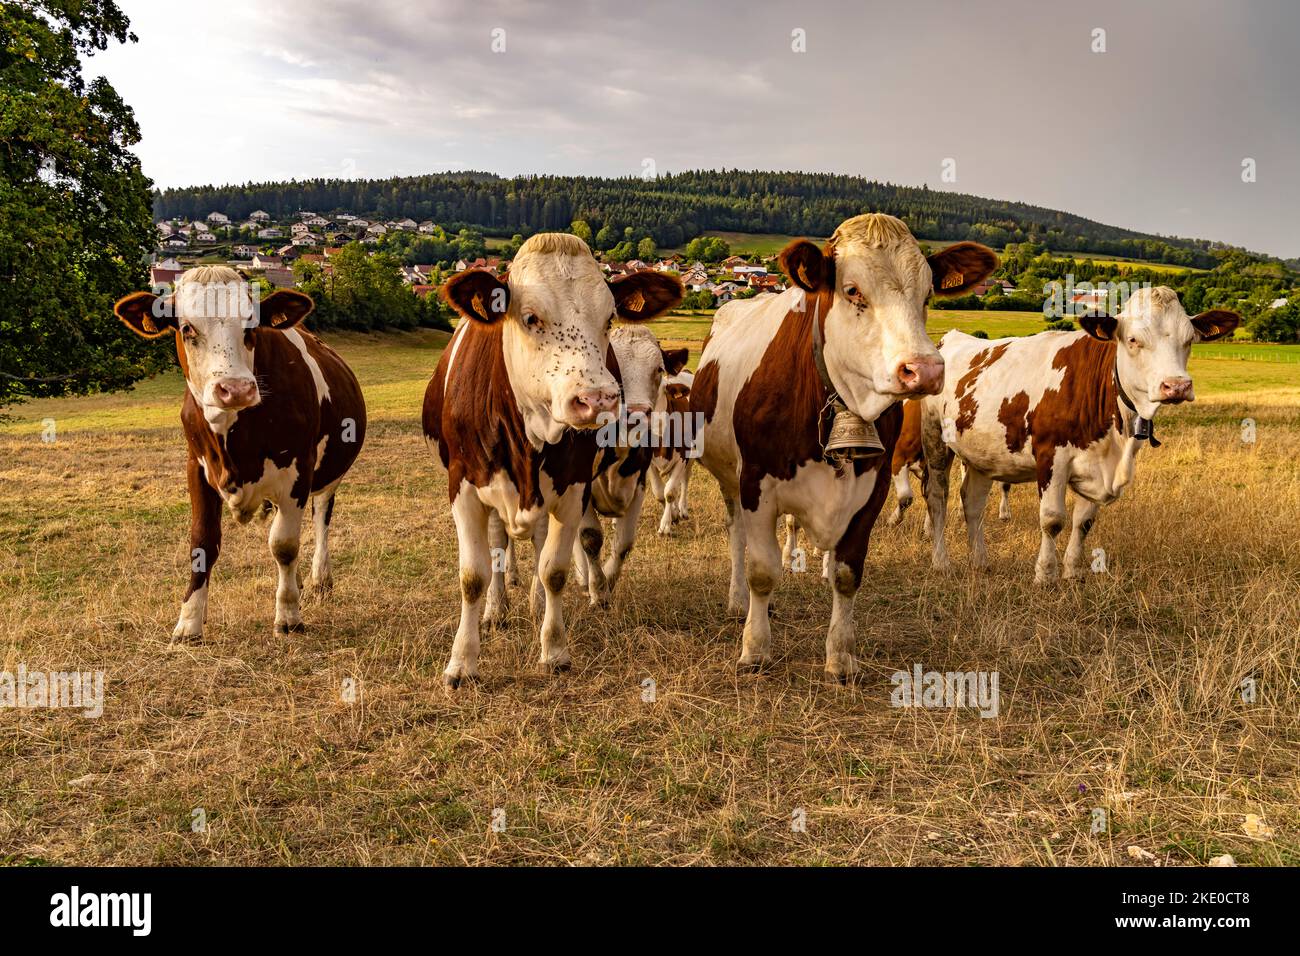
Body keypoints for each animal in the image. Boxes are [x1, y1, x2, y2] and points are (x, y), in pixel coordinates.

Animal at [113, 269, 366, 639]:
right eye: (187, 328)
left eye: (252, 325)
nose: (235, 389)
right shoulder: (197, 468)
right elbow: (203, 542)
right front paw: (190, 620)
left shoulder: (298, 470)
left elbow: (284, 545)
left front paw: (288, 615)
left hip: (328, 474)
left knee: (320, 516)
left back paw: (319, 579)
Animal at [426, 231, 686, 686]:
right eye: (531, 318)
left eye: (608, 319)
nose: (598, 399)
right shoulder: (464, 488)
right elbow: (473, 575)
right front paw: (462, 662)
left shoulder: (572, 487)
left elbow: (555, 569)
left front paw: (555, 650)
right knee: (498, 547)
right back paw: (498, 607)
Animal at [691, 217, 993, 681]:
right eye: (852, 290)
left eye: (927, 294)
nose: (924, 370)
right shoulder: (755, 482)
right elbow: (763, 570)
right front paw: (755, 648)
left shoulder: (873, 487)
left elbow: (848, 573)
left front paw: (841, 655)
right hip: (729, 478)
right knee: (736, 535)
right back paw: (739, 601)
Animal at [920, 283, 1242, 582]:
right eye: (1133, 340)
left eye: (1189, 340)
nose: (1176, 385)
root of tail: (952, 338)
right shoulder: (1051, 456)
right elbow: (1052, 519)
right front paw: (1045, 575)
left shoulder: (1097, 464)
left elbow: (1084, 521)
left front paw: (1073, 572)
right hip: (935, 439)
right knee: (937, 497)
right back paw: (940, 562)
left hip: (983, 454)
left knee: (973, 502)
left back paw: (980, 561)